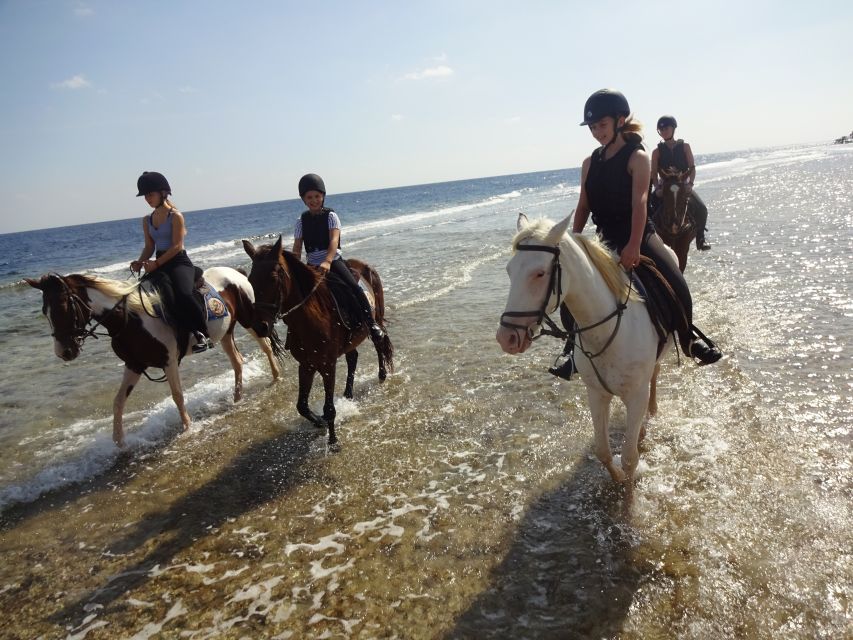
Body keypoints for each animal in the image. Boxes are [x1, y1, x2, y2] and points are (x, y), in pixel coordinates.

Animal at [25, 268, 284, 448]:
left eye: (63, 307)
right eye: (44, 311)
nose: (64, 352)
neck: (131, 320)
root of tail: (236, 272)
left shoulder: (169, 362)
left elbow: (177, 395)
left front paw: (187, 429)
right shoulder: (134, 365)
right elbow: (118, 401)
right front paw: (119, 442)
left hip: (249, 320)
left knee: (266, 346)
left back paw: (276, 377)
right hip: (225, 333)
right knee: (237, 361)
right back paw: (237, 397)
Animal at [241, 238, 394, 448]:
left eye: (273, 277)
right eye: (250, 280)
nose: (260, 326)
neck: (310, 317)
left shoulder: (327, 365)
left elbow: (329, 407)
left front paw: (333, 441)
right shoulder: (306, 364)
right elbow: (301, 406)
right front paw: (319, 422)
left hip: (376, 317)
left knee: (379, 342)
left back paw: (382, 374)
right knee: (353, 357)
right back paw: (348, 394)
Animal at [496, 215, 668, 496]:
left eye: (540, 273)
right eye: (510, 270)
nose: (506, 338)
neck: (610, 331)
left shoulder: (636, 394)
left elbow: (630, 457)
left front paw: (627, 496)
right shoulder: (596, 394)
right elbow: (603, 451)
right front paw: (617, 480)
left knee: (655, 374)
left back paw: (650, 413)